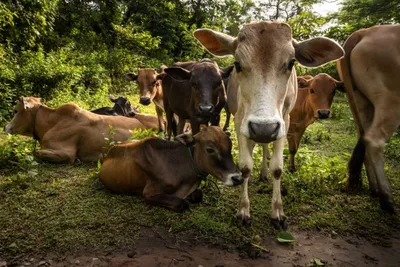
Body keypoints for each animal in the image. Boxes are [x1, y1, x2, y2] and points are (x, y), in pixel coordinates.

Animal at [100, 126, 244, 213]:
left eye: (230, 146)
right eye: (210, 149)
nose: (238, 178)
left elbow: (198, 194)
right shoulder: (148, 193)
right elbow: (182, 203)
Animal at [338, 25, 400, 214]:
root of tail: (365, 31)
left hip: (361, 100)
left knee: (363, 136)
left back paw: (374, 190)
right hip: (391, 99)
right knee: (374, 139)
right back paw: (386, 199)